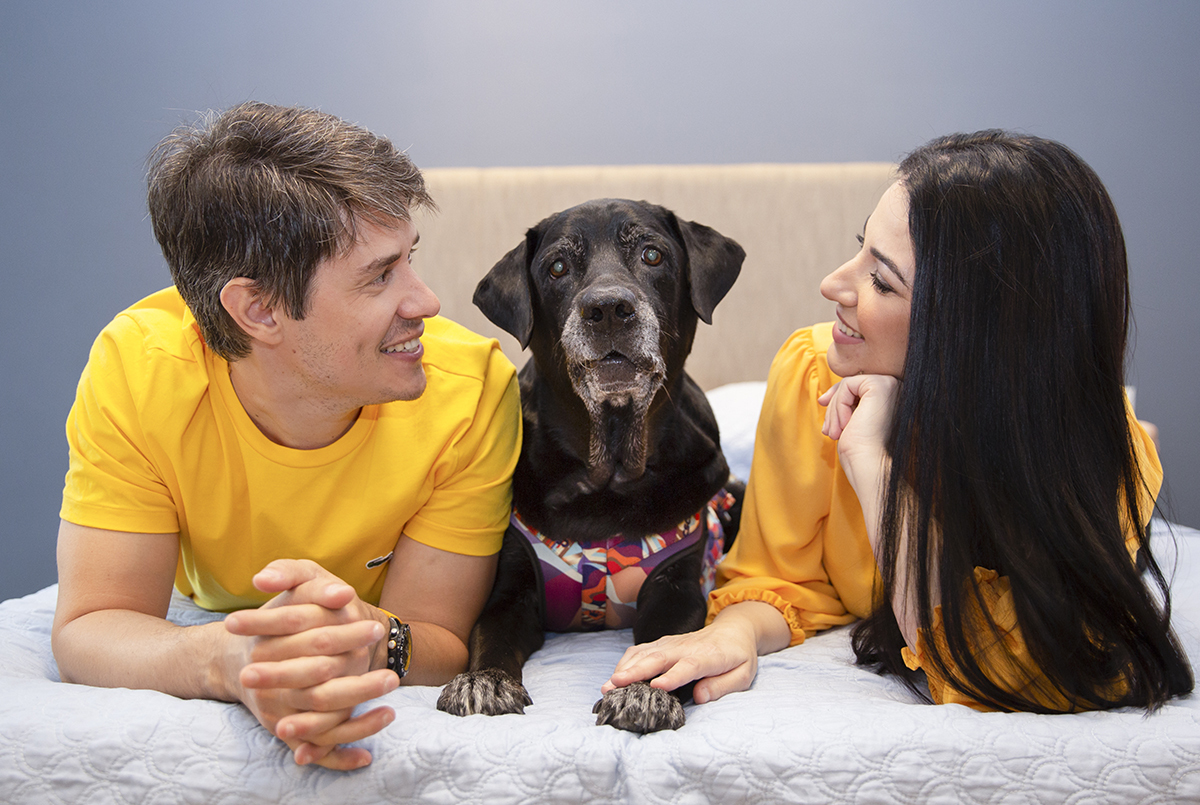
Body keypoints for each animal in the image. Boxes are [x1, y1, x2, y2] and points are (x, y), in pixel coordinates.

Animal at [436, 199, 745, 733]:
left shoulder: (678, 589)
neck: (607, 480)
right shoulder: (512, 589)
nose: (607, 309)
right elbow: (491, 635)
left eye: (652, 254)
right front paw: (484, 681)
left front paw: (643, 692)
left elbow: (665, 646)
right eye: (557, 267)